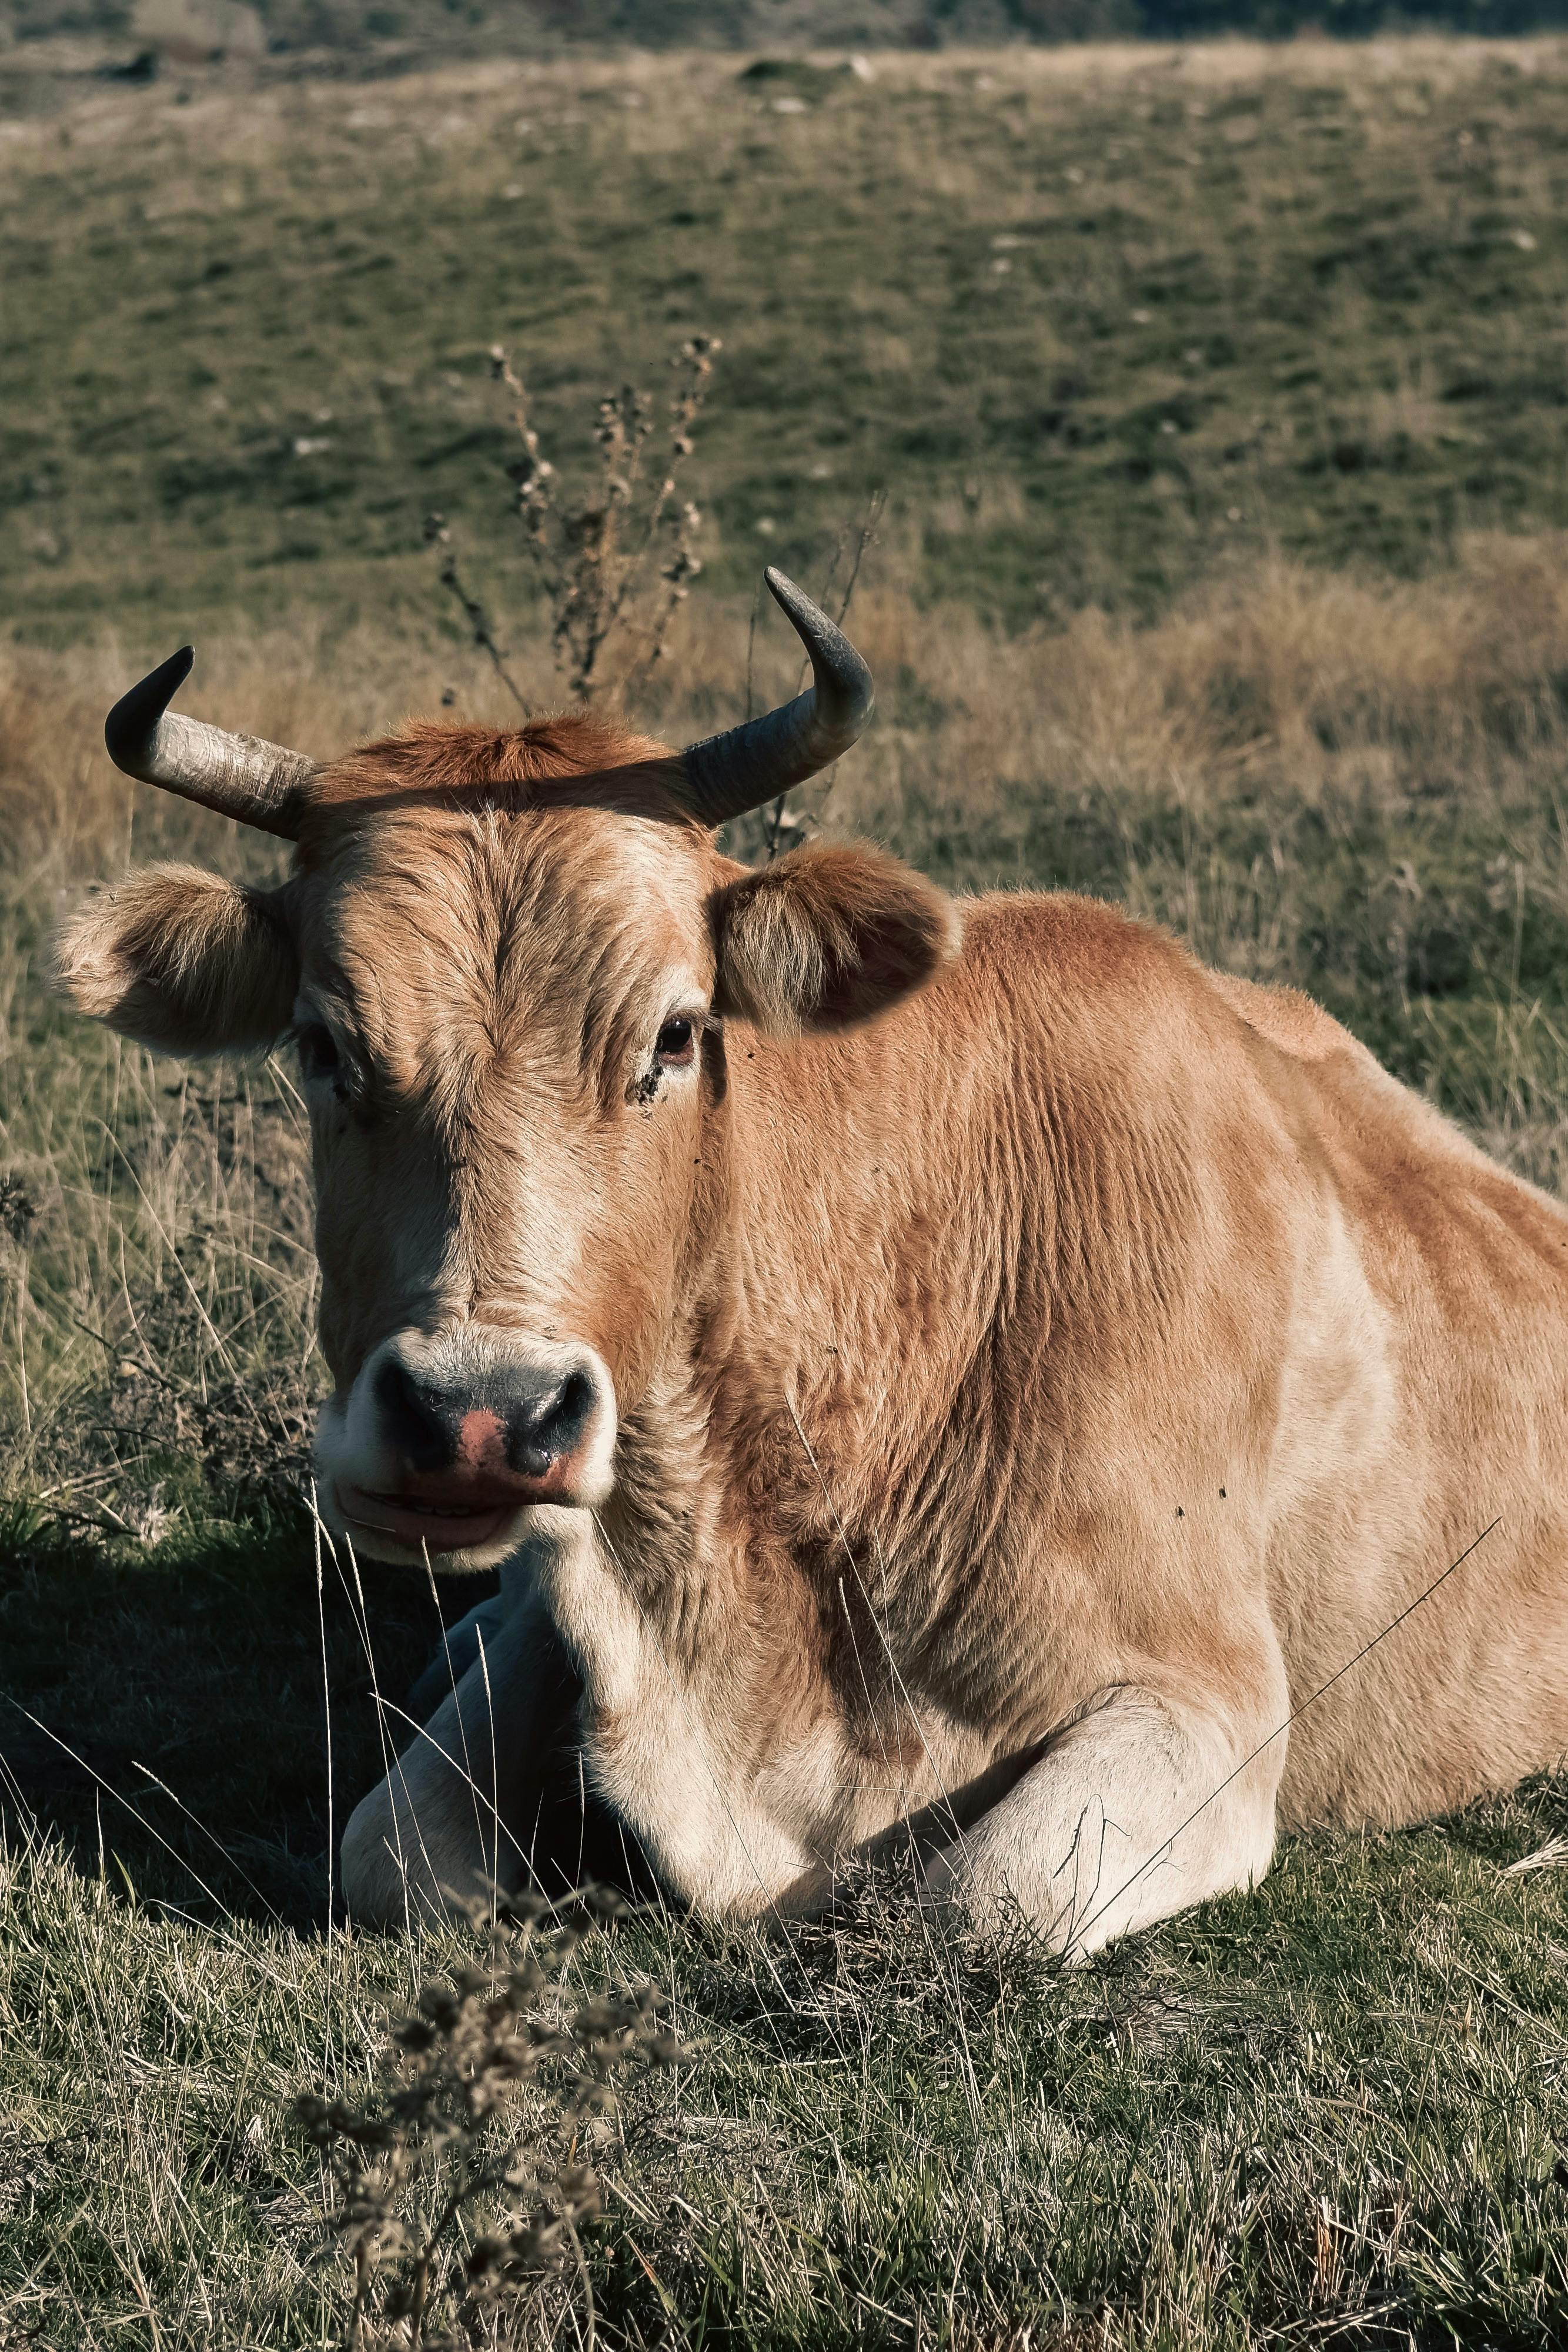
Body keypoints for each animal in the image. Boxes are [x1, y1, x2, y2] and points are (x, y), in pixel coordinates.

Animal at [57, 570, 1568, 1956]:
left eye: (674, 1033)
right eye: (323, 1044)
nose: (478, 1420)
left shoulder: (1207, 1700)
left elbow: (982, 1900)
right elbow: (394, 1856)